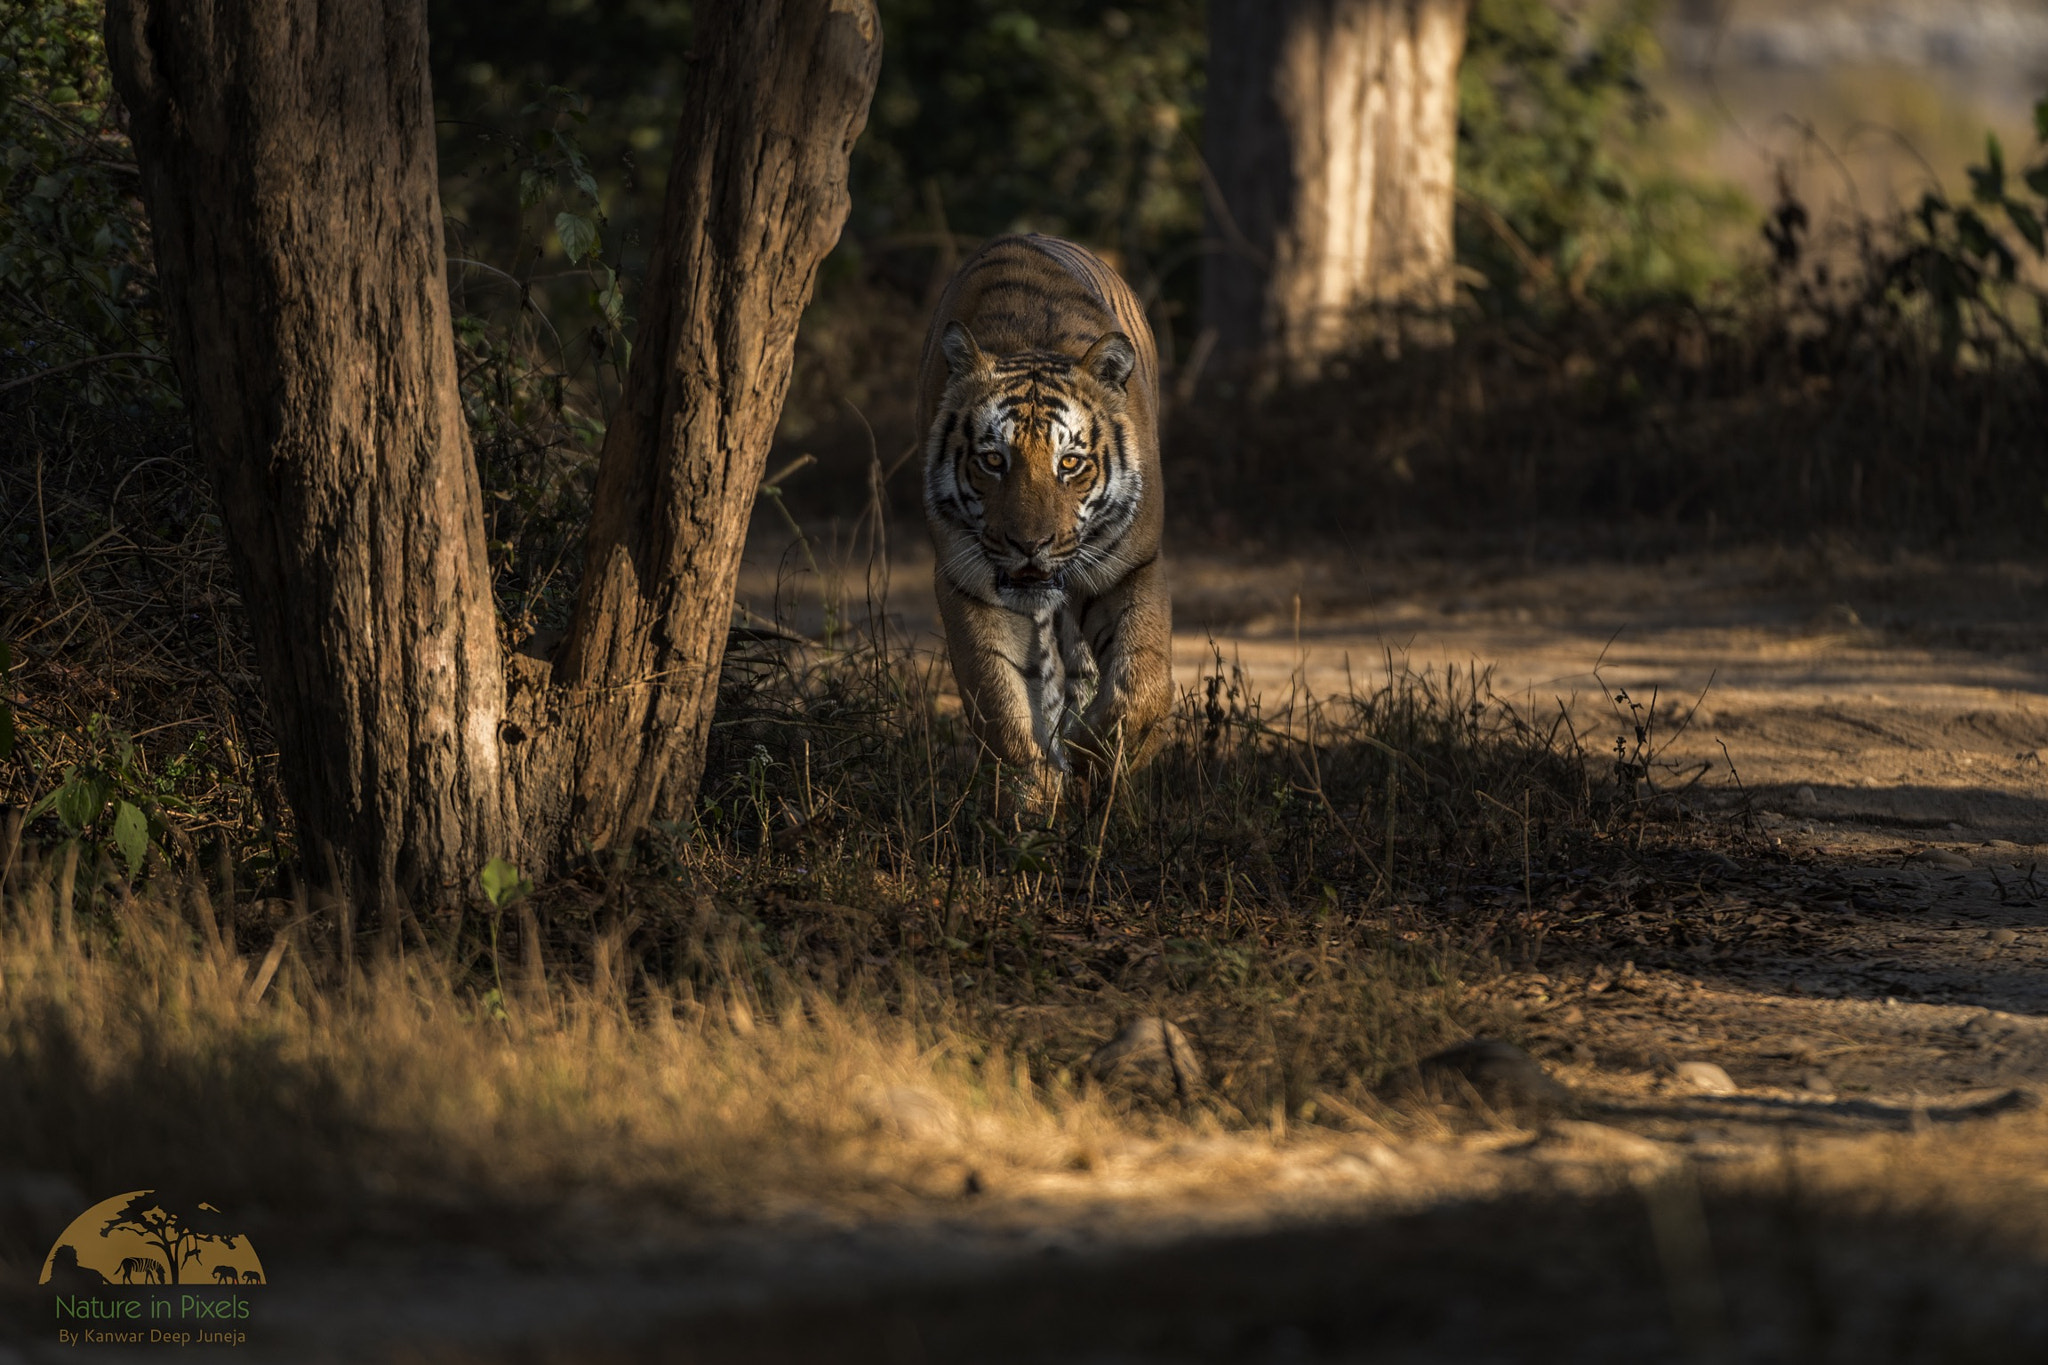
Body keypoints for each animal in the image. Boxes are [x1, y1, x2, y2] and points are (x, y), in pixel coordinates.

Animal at [919, 233, 1171, 795]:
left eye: (1069, 463)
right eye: (994, 460)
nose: (1029, 545)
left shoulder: (1132, 566)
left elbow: (1143, 685)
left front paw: (1095, 756)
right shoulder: (966, 580)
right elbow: (1001, 703)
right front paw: (1032, 801)